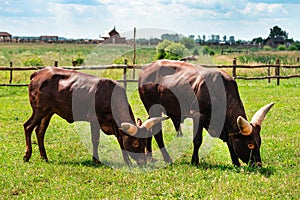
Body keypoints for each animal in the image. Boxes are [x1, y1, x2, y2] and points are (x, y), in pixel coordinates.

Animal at [23, 67, 169, 166]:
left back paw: (44, 157)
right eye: (136, 143)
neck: (109, 96)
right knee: (28, 126)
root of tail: (39, 73)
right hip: (39, 110)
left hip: (48, 112)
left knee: (40, 132)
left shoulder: (116, 127)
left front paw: (127, 161)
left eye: (144, 142)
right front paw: (96, 160)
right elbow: (95, 140)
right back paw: (27, 155)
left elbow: (121, 142)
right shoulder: (94, 120)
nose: (143, 162)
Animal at [138, 59, 274, 167]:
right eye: (250, 145)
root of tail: (147, 67)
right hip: (154, 108)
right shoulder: (198, 116)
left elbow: (230, 142)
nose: (258, 164)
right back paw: (167, 159)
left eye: (259, 142)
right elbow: (197, 140)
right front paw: (195, 161)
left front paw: (236, 163)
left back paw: (150, 157)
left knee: (149, 126)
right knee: (157, 132)